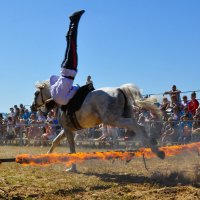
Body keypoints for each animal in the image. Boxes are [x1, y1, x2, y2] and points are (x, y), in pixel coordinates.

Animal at [31, 82, 165, 171]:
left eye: (36, 93)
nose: (32, 107)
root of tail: (119, 90)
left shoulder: (68, 130)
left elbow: (72, 149)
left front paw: (73, 168)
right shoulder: (66, 130)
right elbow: (55, 141)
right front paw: (46, 157)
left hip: (113, 120)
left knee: (137, 127)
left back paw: (157, 152)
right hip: (123, 117)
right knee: (139, 128)